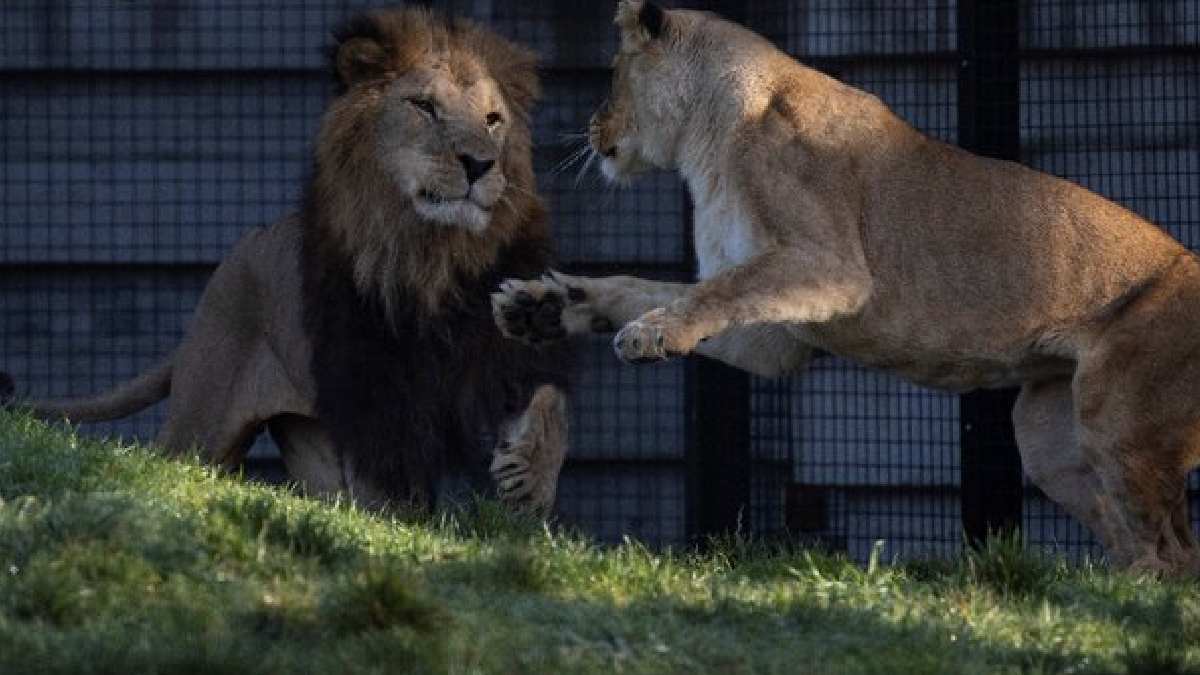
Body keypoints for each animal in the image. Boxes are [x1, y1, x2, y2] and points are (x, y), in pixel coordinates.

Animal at [3, 8, 571, 512]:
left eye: (493, 121)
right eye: (425, 107)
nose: (480, 165)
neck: (436, 255)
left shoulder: (497, 353)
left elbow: (550, 402)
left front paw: (530, 480)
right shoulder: (372, 390)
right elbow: (387, 475)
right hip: (203, 424)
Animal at [493, 1, 1200, 574]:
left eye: (612, 75)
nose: (588, 127)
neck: (706, 140)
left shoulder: (829, 263)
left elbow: (708, 293)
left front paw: (649, 334)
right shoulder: (774, 337)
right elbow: (641, 286)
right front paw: (541, 308)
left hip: (1118, 414)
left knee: (1174, 553)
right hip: (1050, 435)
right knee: (1134, 537)